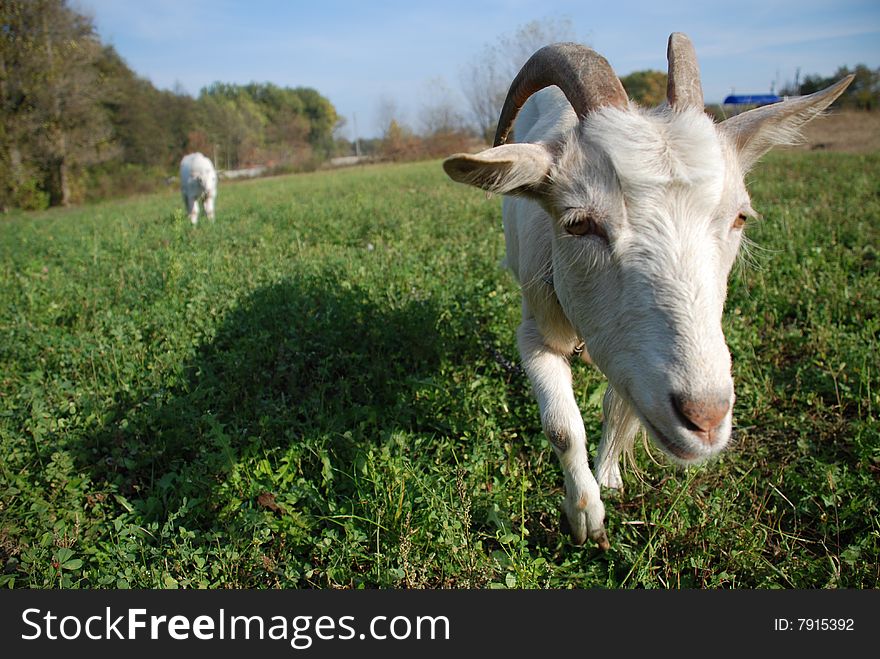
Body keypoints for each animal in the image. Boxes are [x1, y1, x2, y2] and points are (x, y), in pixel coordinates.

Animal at [446, 33, 852, 548]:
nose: (705, 417)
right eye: (578, 224)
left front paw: (609, 476)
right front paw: (585, 516)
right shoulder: (537, 329)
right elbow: (562, 427)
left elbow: (617, 403)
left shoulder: (634, 360)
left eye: (739, 217)